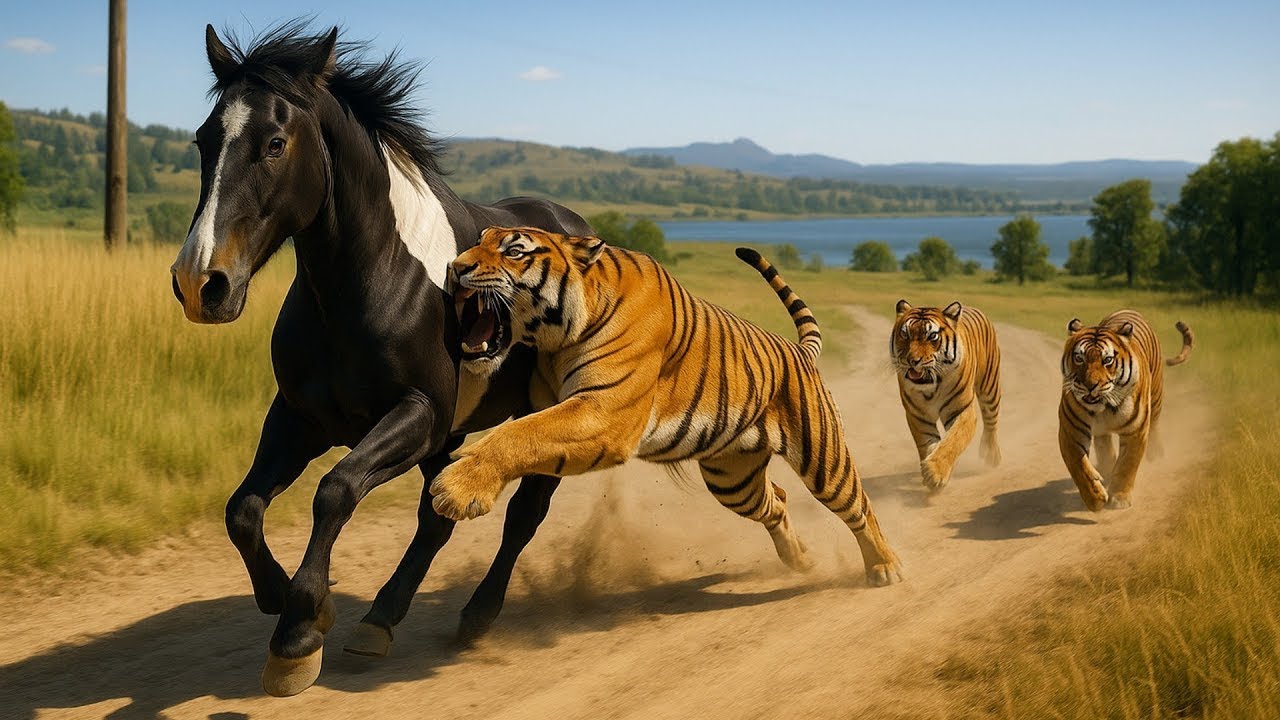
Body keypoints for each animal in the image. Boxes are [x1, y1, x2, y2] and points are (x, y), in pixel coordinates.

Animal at [169, 21, 588, 696]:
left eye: (275, 144)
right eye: (205, 140)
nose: (200, 282)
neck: (370, 280)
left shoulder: (416, 417)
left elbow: (335, 491)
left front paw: (299, 632)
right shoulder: (302, 418)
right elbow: (243, 510)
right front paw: (286, 599)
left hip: (546, 419)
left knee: (524, 515)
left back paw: (477, 615)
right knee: (437, 520)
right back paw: (380, 620)